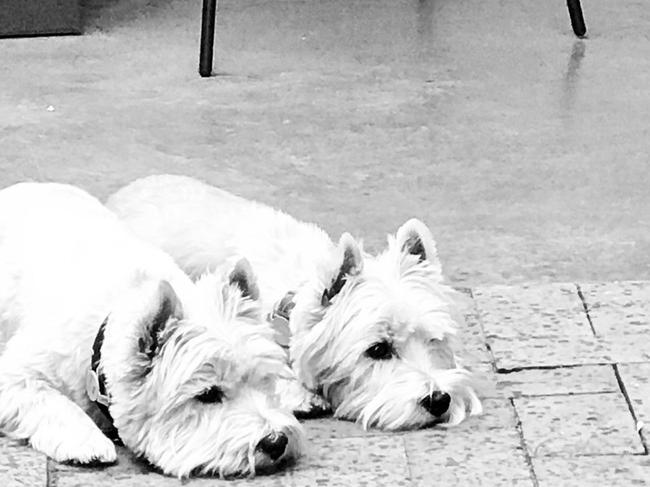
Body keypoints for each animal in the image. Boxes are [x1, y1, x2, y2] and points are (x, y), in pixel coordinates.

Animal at [0, 182, 302, 476]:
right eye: (207, 394)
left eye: (265, 380)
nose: (276, 442)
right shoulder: (18, 372)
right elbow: (48, 400)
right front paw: (87, 443)